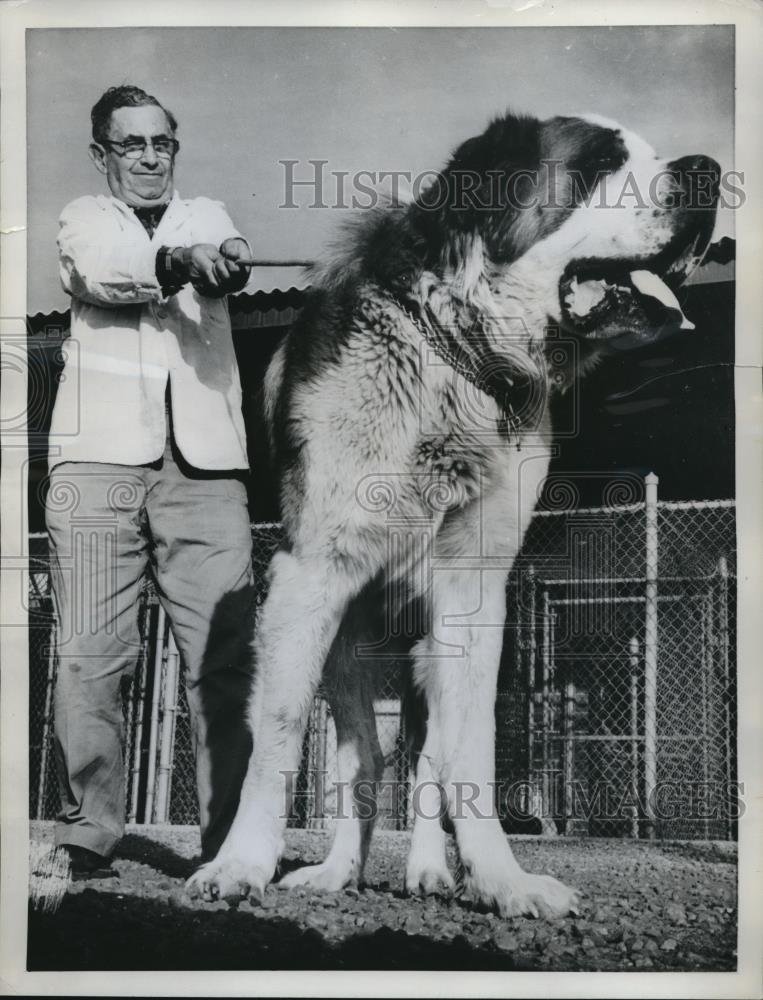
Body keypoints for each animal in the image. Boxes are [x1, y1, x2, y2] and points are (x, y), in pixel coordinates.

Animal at [188, 113, 720, 916]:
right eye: (602, 161)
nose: (711, 172)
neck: (456, 355)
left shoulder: (473, 593)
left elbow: (467, 753)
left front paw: (500, 879)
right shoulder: (310, 574)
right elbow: (279, 734)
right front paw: (241, 864)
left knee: (426, 759)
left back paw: (429, 872)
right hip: (349, 646)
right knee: (364, 762)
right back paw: (338, 872)